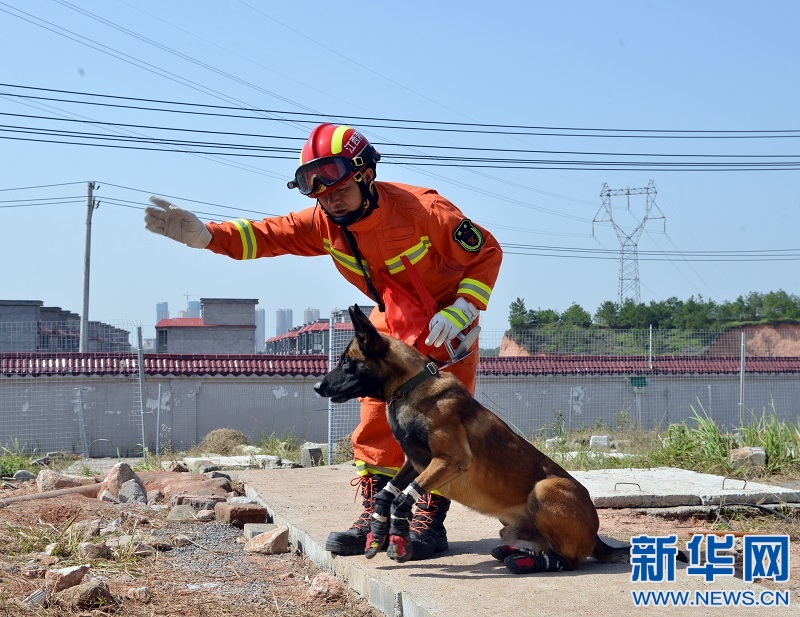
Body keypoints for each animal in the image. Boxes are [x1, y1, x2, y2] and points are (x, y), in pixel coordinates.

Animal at [312, 306, 632, 576]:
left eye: (348, 363)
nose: (316, 387)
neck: (411, 386)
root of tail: (597, 536)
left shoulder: (449, 460)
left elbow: (403, 499)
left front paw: (400, 539)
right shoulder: (415, 462)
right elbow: (384, 495)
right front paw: (377, 533)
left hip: (545, 489)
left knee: (570, 559)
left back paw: (531, 562)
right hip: (512, 522)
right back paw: (514, 552)